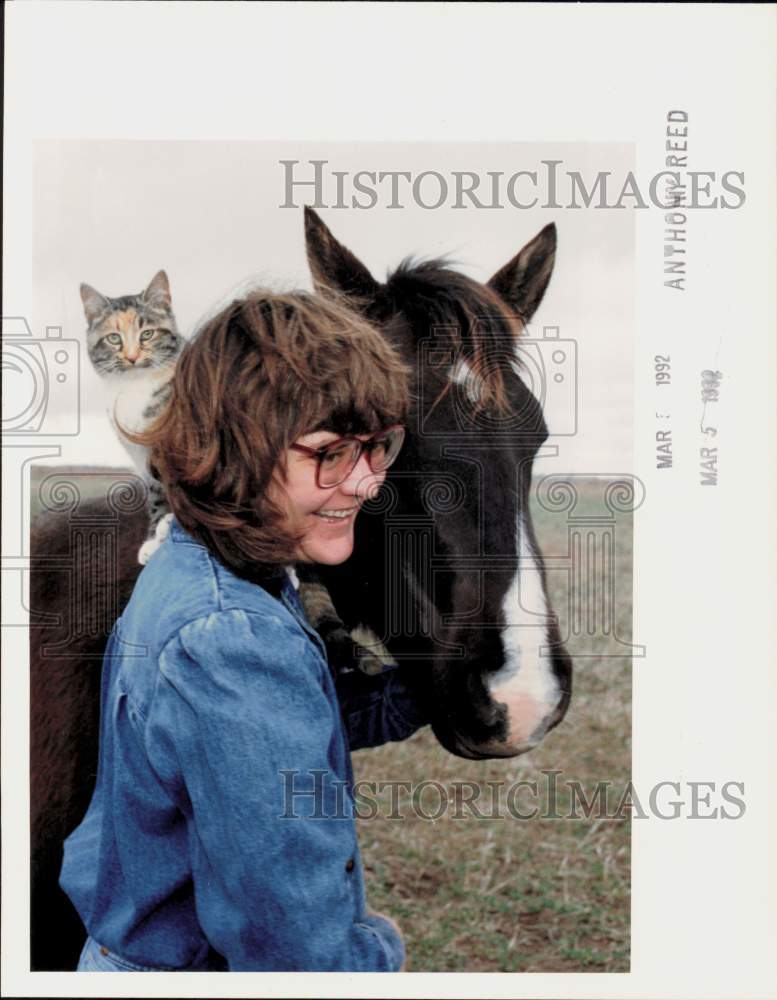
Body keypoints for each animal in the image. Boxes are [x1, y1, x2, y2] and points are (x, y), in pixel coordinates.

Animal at [80, 268, 185, 564]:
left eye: (147, 334)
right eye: (114, 338)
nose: (132, 356)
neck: (134, 388)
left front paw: (167, 528)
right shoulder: (141, 458)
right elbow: (157, 495)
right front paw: (154, 537)